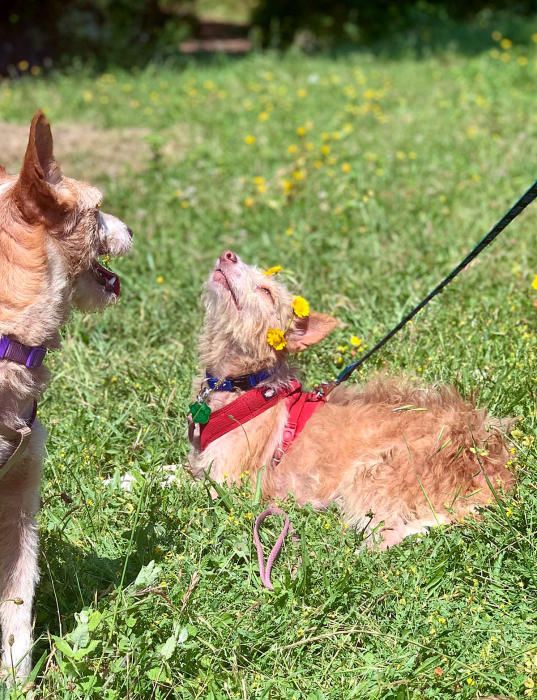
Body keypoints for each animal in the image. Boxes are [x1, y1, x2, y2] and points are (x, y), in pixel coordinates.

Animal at [187, 254, 510, 548]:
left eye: (266, 291)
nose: (228, 255)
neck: (243, 385)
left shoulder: (226, 482)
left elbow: (190, 486)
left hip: (374, 474)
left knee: (386, 537)